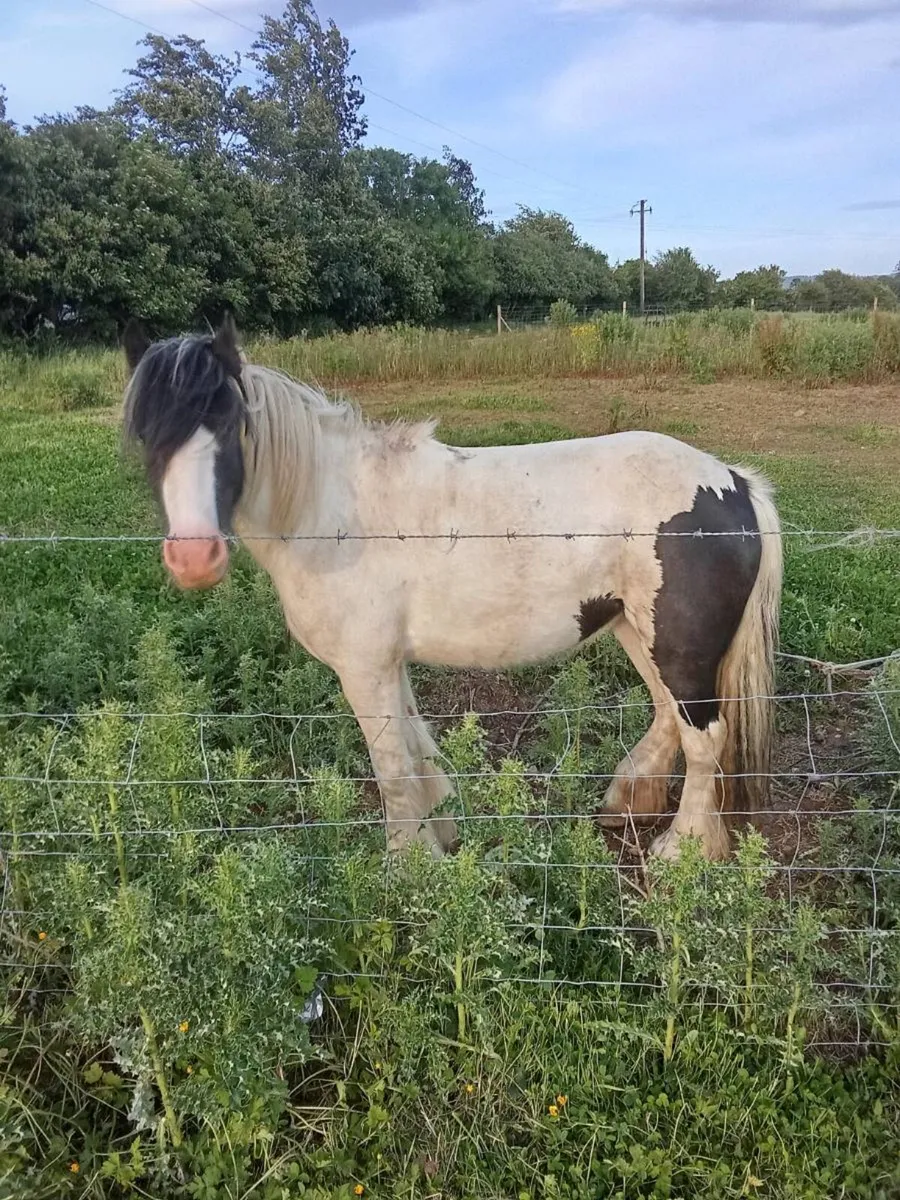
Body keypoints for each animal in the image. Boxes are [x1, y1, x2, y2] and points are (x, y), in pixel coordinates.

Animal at [121, 315, 782, 862]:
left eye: (229, 422)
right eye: (145, 434)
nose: (194, 558)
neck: (334, 510)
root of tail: (732, 483)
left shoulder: (363, 667)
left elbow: (390, 765)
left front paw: (407, 863)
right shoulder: (388, 664)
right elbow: (415, 752)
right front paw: (438, 832)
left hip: (677, 646)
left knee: (705, 738)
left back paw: (683, 851)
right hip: (635, 630)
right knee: (671, 715)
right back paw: (626, 803)